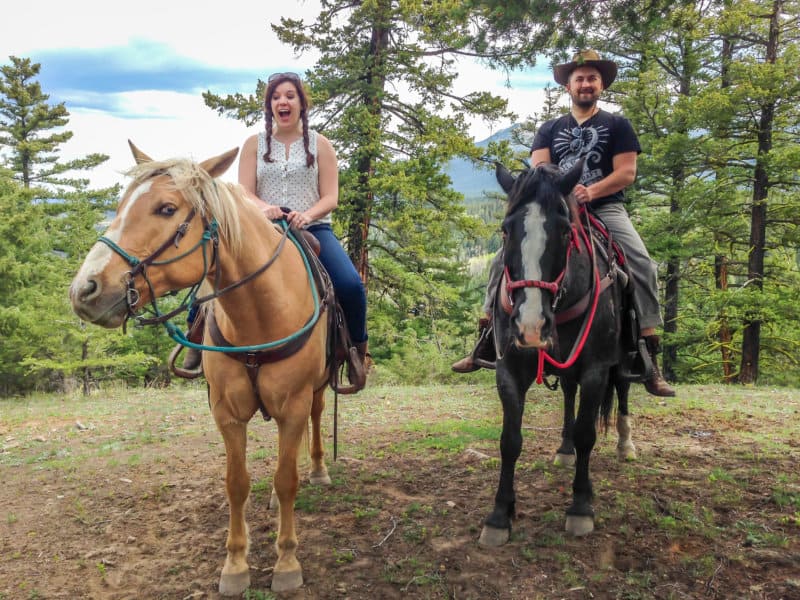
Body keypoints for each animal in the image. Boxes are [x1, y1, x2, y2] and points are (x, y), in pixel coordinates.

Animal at [69, 142, 328, 596]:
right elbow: (236, 483)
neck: (259, 316)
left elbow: (286, 479)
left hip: (315, 391)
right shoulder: (226, 411)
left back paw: (317, 469)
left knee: (315, 421)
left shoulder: (294, 404)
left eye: (167, 208)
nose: (84, 290)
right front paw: (236, 565)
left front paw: (286, 561)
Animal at [478, 158, 636, 544]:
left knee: (623, 387)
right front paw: (500, 515)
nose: (531, 325)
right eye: (505, 231)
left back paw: (625, 444)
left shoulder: (595, 369)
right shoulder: (508, 372)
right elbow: (510, 440)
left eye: (565, 232)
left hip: (621, 359)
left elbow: (587, 434)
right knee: (567, 391)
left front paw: (580, 507)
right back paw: (564, 450)